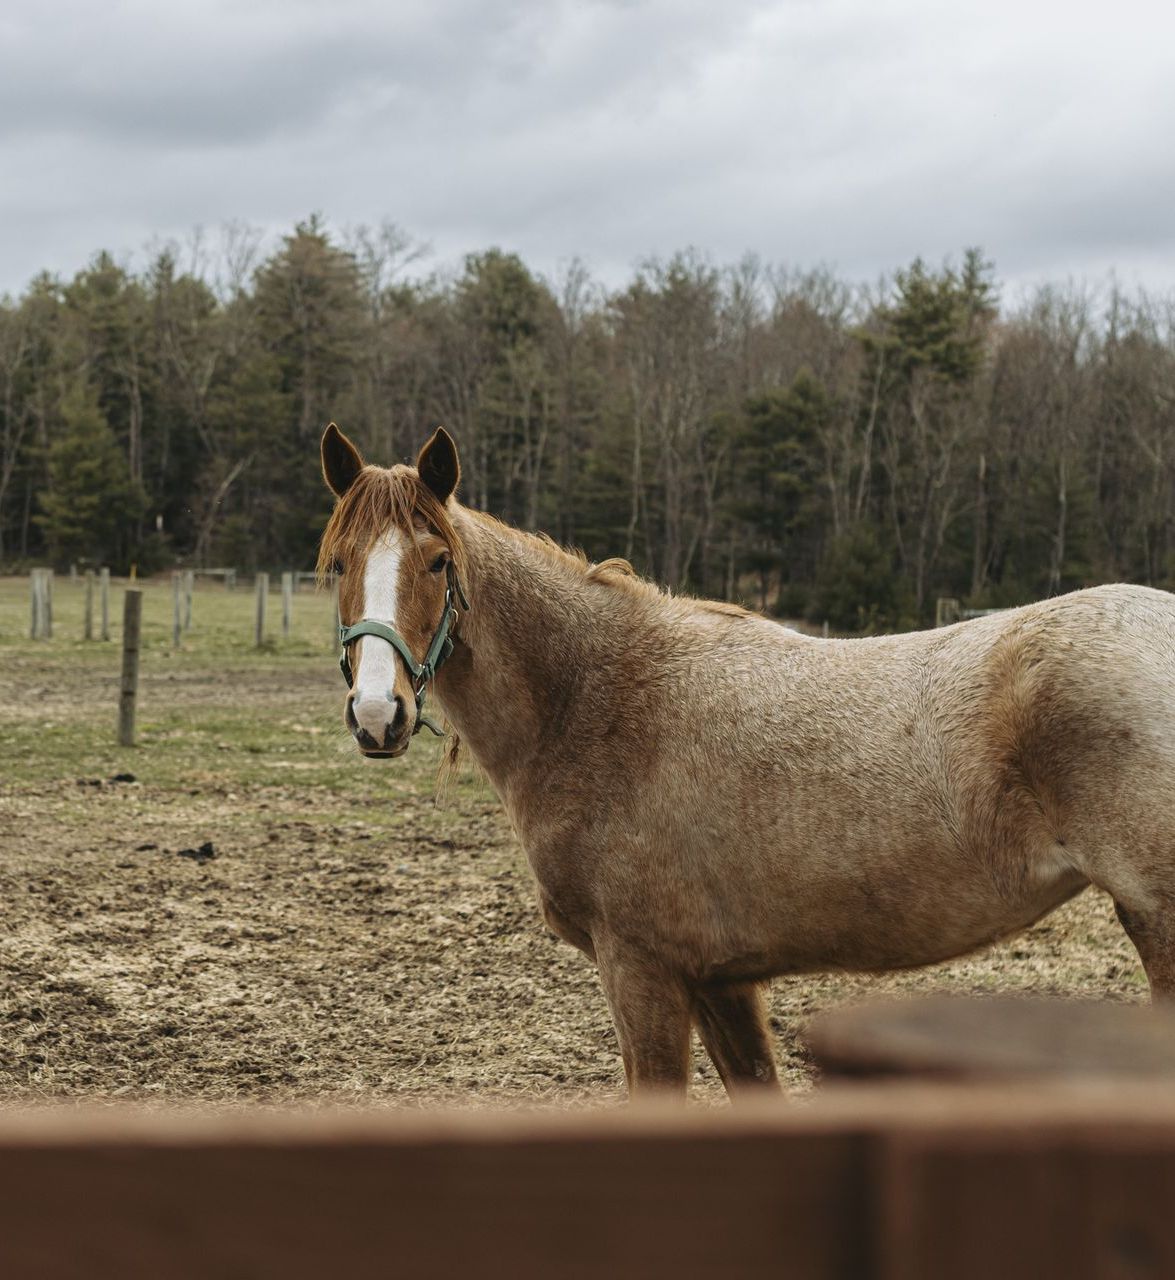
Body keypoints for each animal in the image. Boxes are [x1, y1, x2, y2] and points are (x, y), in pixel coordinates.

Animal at [317, 422, 1175, 1100]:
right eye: (339, 564)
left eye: (436, 560)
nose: (378, 714)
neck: (600, 699)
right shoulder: (719, 980)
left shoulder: (642, 972)